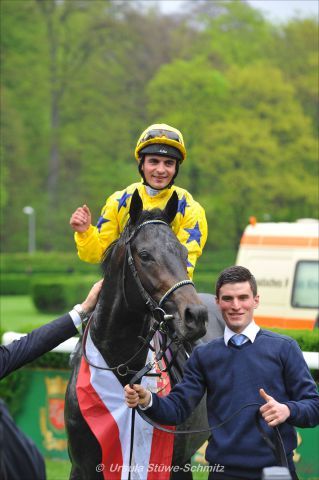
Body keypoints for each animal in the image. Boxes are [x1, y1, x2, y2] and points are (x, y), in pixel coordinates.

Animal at [65, 191, 212, 480]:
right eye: (145, 255)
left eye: (182, 252)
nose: (196, 315)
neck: (122, 364)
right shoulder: (82, 466)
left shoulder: (171, 463)